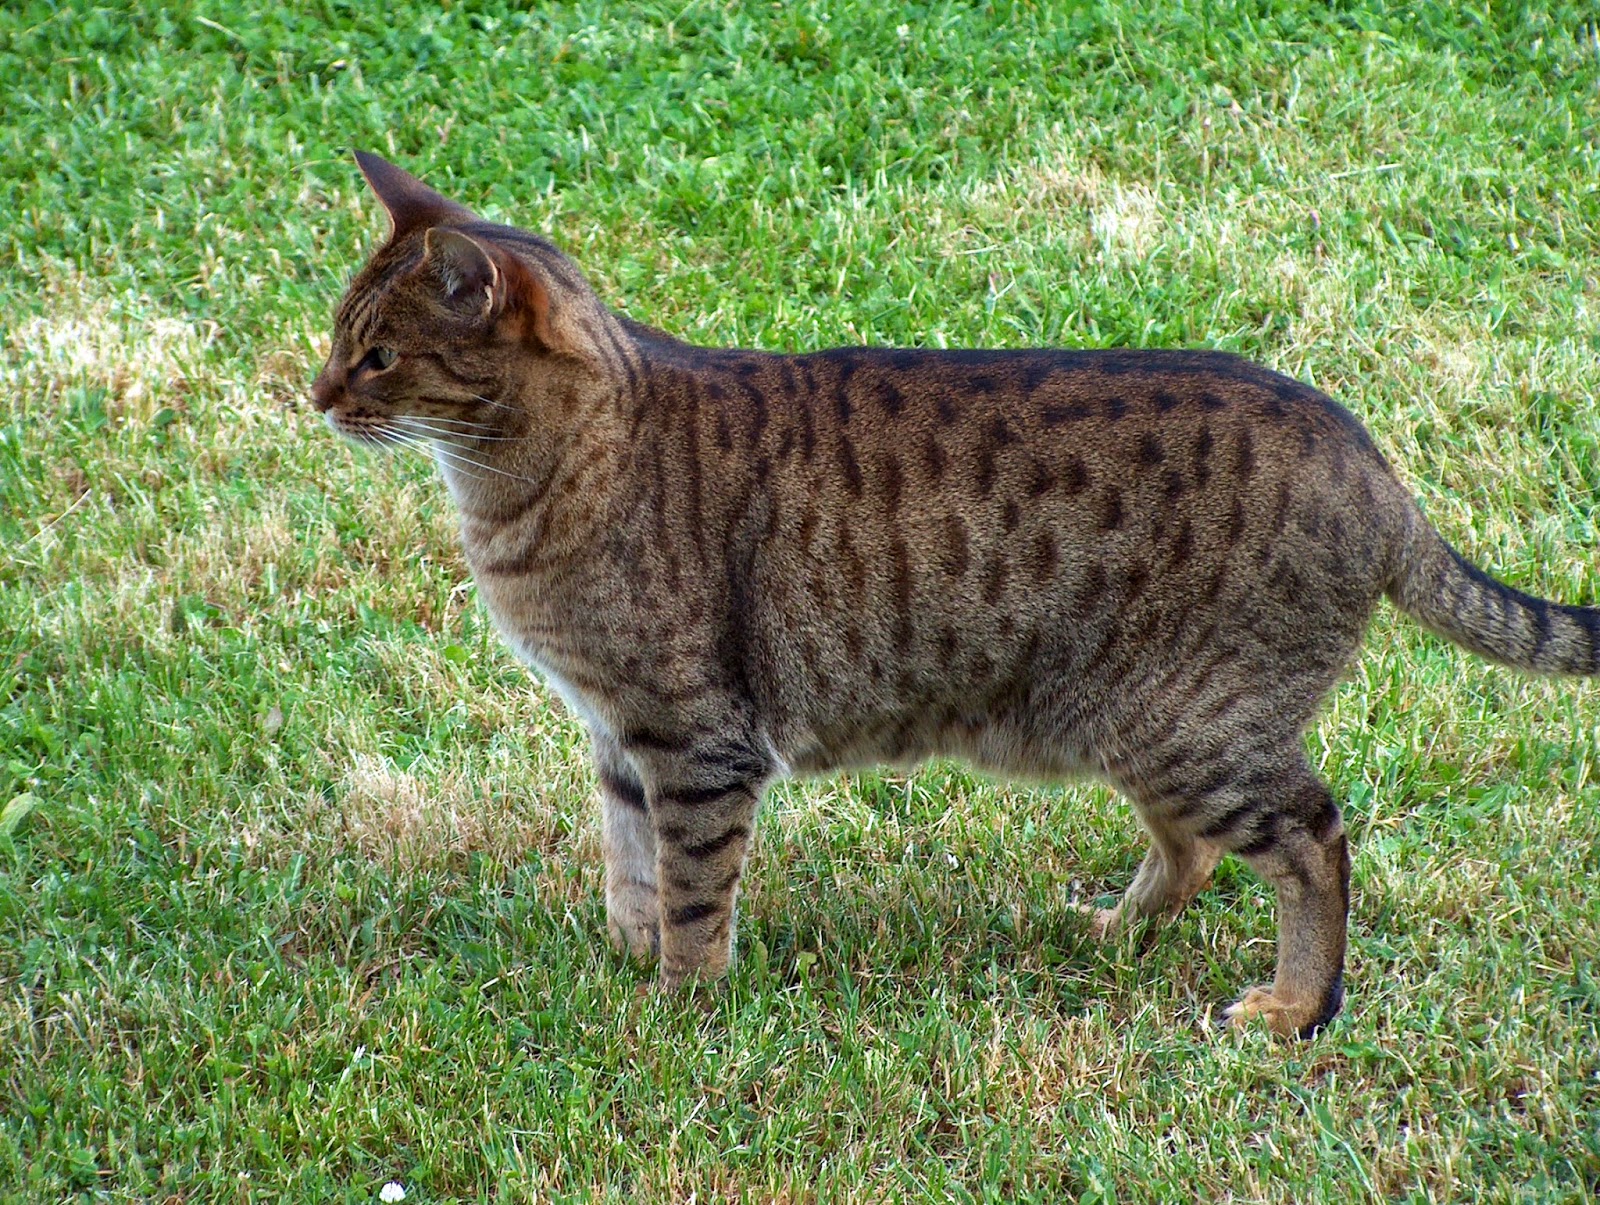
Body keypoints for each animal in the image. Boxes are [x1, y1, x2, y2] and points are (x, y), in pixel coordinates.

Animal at [312, 150, 1600, 1036]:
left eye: (378, 355)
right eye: (336, 338)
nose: (315, 395)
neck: (532, 472)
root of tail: (1376, 466)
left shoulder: (694, 735)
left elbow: (692, 887)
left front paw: (680, 1006)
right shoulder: (618, 732)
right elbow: (633, 867)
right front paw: (627, 963)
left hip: (1191, 724)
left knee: (1314, 836)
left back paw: (1293, 1007)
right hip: (1140, 721)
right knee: (1189, 850)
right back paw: (1112, 931)